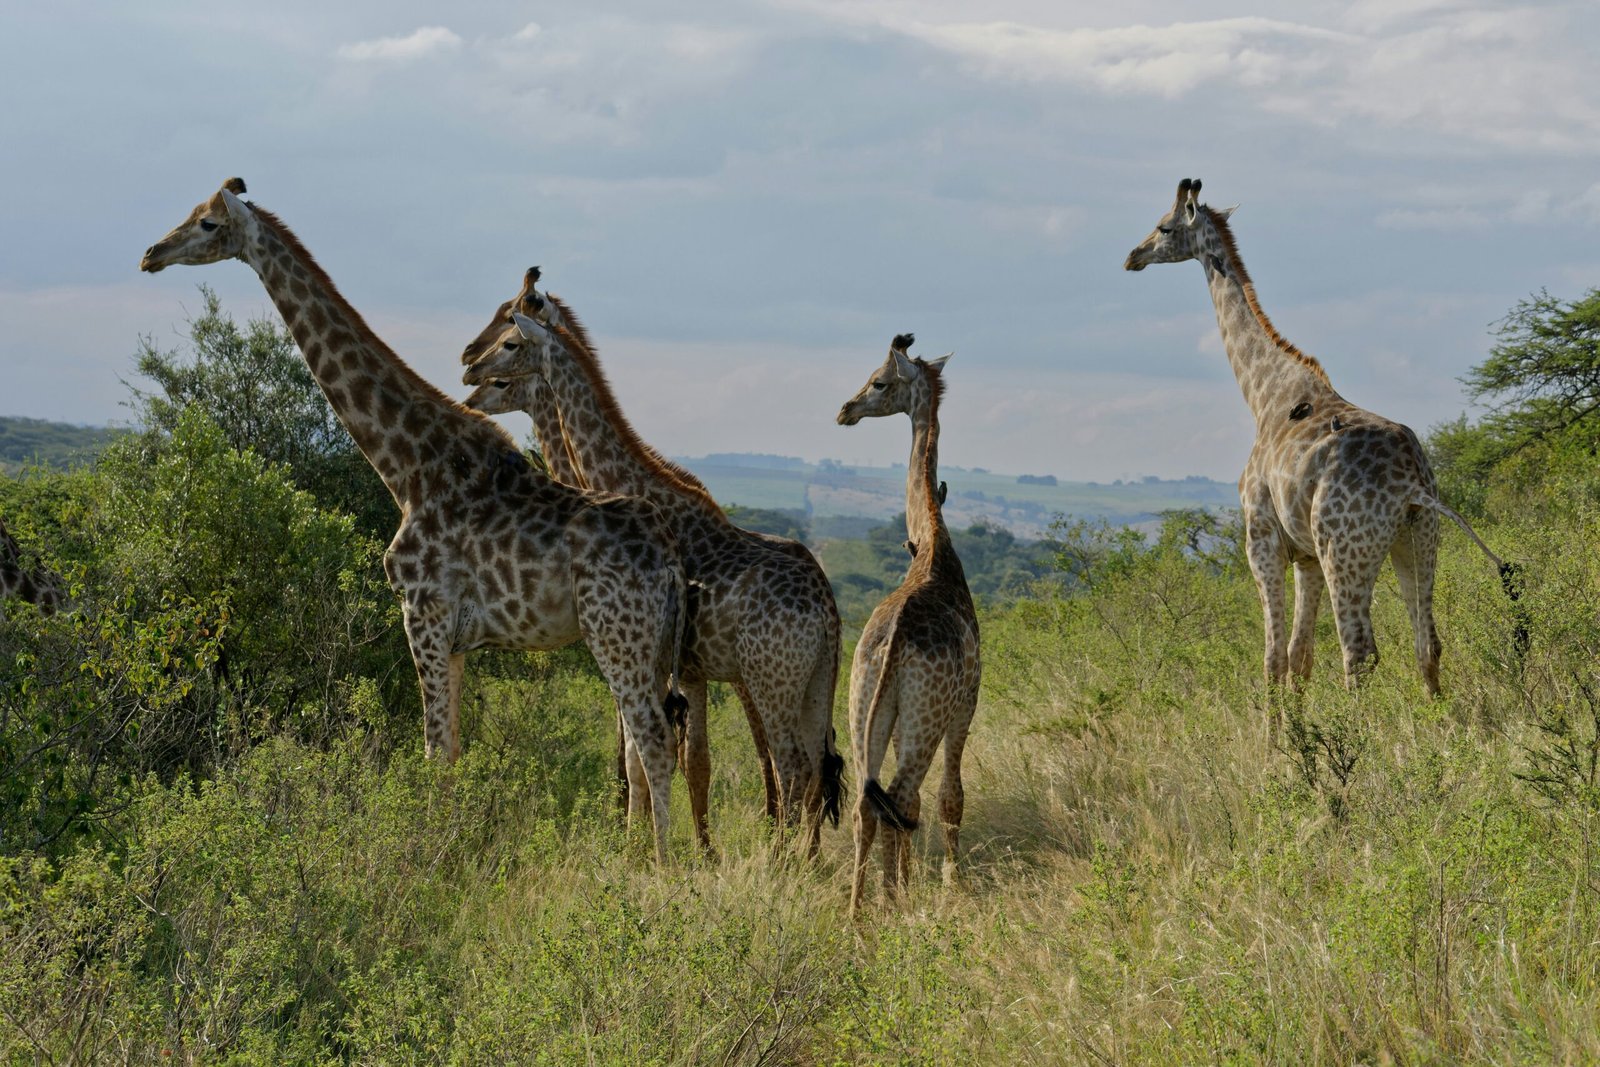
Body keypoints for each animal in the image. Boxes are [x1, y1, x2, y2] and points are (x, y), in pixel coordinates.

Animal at [139, 175, 688, 857]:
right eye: (192, 213)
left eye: (209, 224)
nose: (151, 254)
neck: (405, 466)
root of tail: (671, 562)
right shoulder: (455, 636)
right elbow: (449, 752)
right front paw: (451, 847)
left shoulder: (421, 611)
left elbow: (431, 755)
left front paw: (431, 858)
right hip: (649, 646)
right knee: (647, 745)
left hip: (618, 635)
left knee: (654, 744)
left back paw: (660, 867)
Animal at [457, 273, 844, 851]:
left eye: (508, 336)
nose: (467, 369)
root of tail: (827, 610)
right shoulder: (690, 667)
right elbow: (685, 760)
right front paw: (685, 847)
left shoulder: (658, 659)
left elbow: (652, 756)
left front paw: (647, 845)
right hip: (816, 677)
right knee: (815, 767)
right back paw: (807, 859)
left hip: (768, 676)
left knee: (789, 765)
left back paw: (781, 857)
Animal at [832, 334, 979, 921]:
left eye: (878, 382)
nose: (845, 410)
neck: (932, 546)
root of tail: (893, 643)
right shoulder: (966, 705)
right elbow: (950, 796)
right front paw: (949, 883)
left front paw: (908, 882)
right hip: (925, 716)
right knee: (900, 793)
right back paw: (888, 902)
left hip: (861, 703)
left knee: (868, 802)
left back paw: (858, 913)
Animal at [1126, 178, 1510, 703]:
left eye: (1164, 227)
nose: (1133, 256)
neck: (1264, 394)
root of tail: (1412, 484)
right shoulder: (1304, 553)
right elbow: (1299, 656)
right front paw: (1294, 726)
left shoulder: (1261, 537)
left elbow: (1272, 658)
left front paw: (1275, 730)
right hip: (1417, 540)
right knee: (1427, 643)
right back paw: (1441, 724)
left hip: (1344, 551)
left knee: (1359, 652)